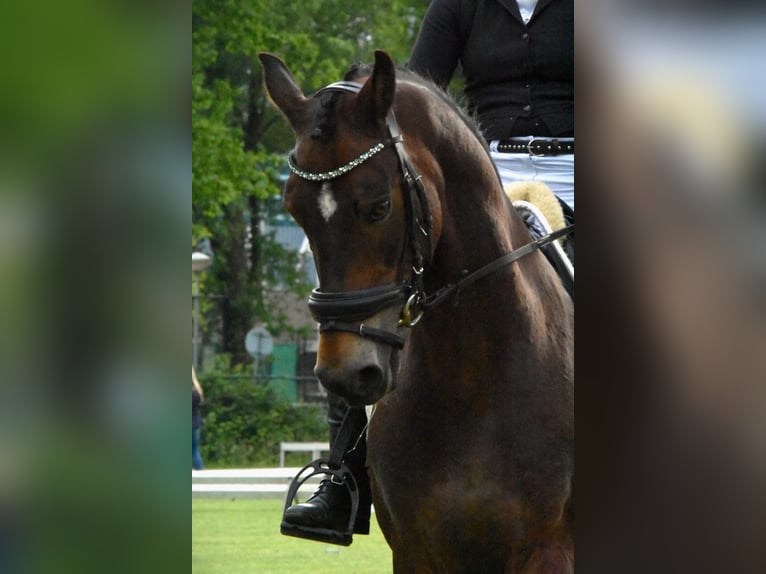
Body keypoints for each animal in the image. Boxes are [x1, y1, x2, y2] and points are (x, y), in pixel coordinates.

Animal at [260, 50, 572, 574]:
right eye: (294, 210)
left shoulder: (548, 552)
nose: (346, 373)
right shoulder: (415, 552)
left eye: (379, 206)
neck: (468, 379)